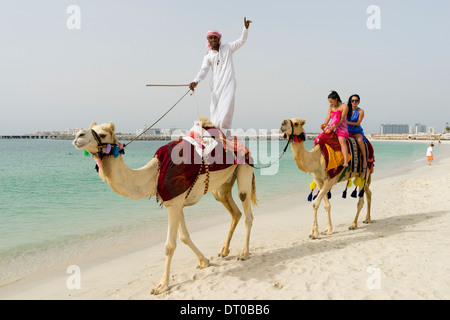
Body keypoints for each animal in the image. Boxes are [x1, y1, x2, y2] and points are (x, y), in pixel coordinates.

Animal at [74, 120, 256, 296]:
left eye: (103, 134)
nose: (77, 136)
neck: (154, 174)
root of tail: (242, 145)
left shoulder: (174, 203)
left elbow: (169, 246)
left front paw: (161, 286)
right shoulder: (177, 202)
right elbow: (184, 237)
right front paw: (204, 261)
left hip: (244, 167)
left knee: (246, 207)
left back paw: (244, 253)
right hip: (221, 188)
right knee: (234, 212)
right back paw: (224, 251)